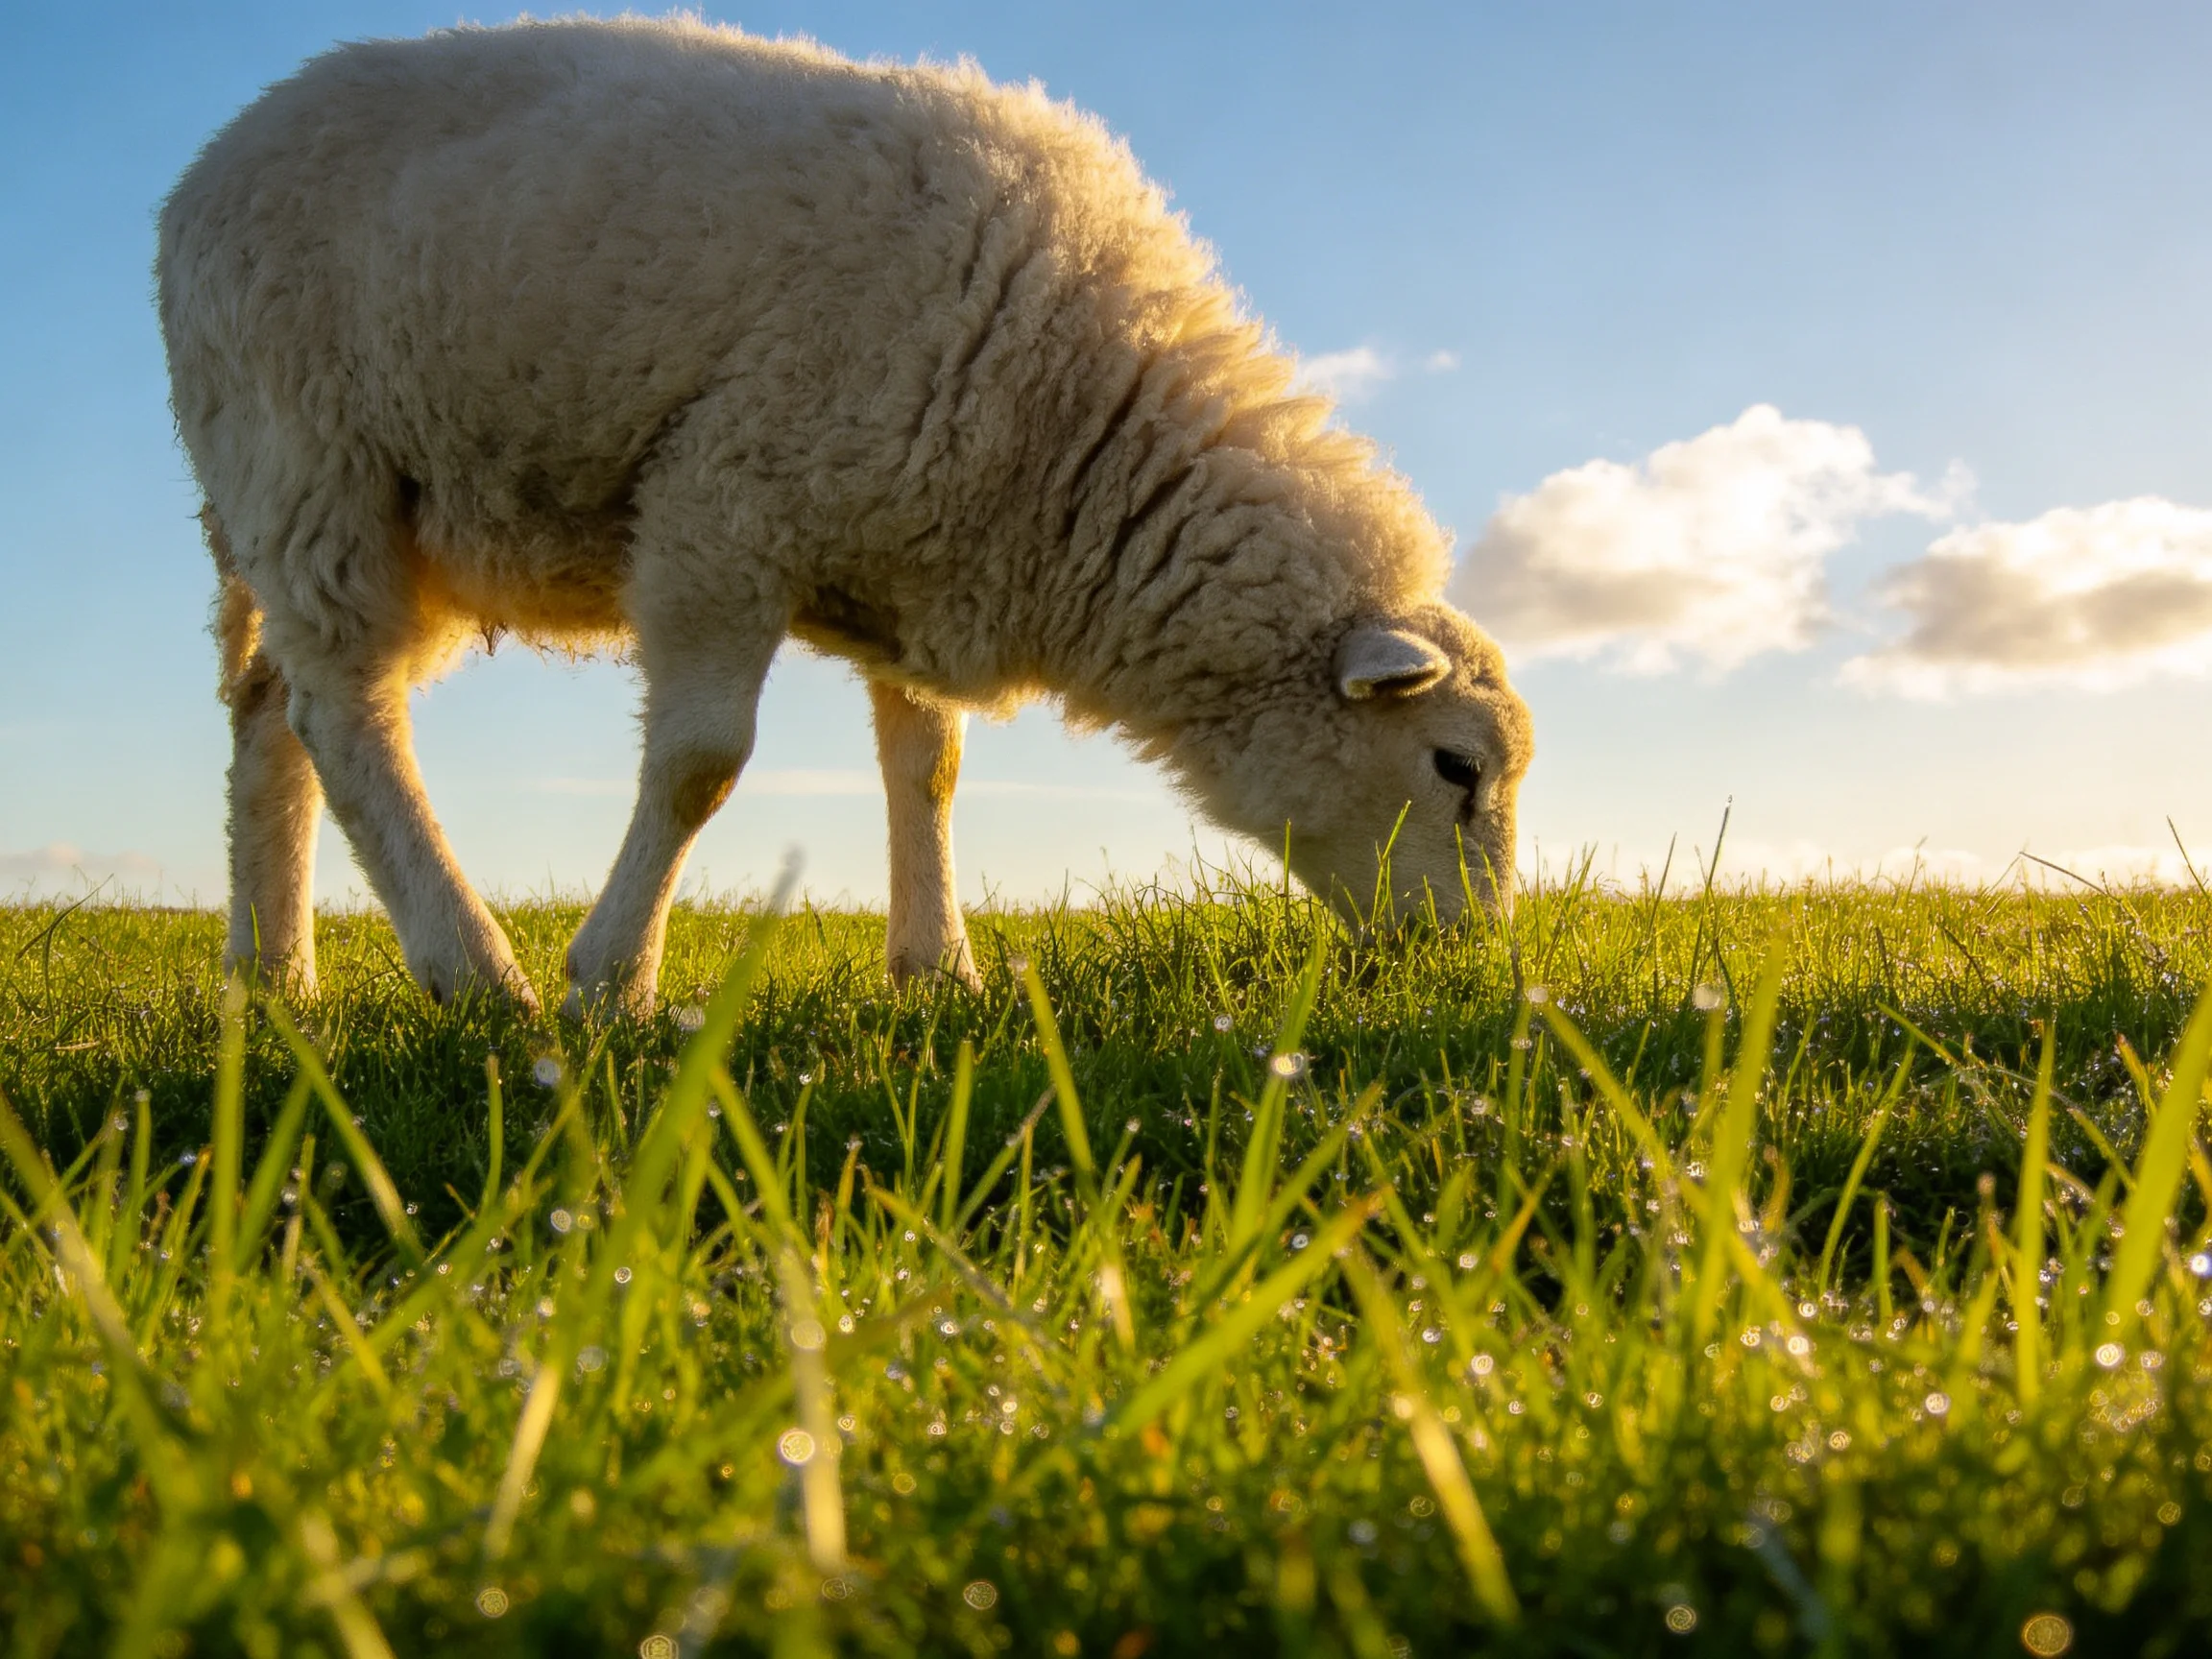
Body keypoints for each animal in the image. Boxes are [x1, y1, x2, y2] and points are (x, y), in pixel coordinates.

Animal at [158, 16, 1534, 1016]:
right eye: (1455, 766)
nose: (1468, 962)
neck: (1074, 422)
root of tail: (208, 167)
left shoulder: (917, 556)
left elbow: (930, 770)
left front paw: (938, 970)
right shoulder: (720, 507)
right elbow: (701, 766)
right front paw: (612, 984)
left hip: (308, 507)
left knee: (269, 714)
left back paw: (271, 978)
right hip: (311, 455)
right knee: (347, 714)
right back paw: (474, 972)